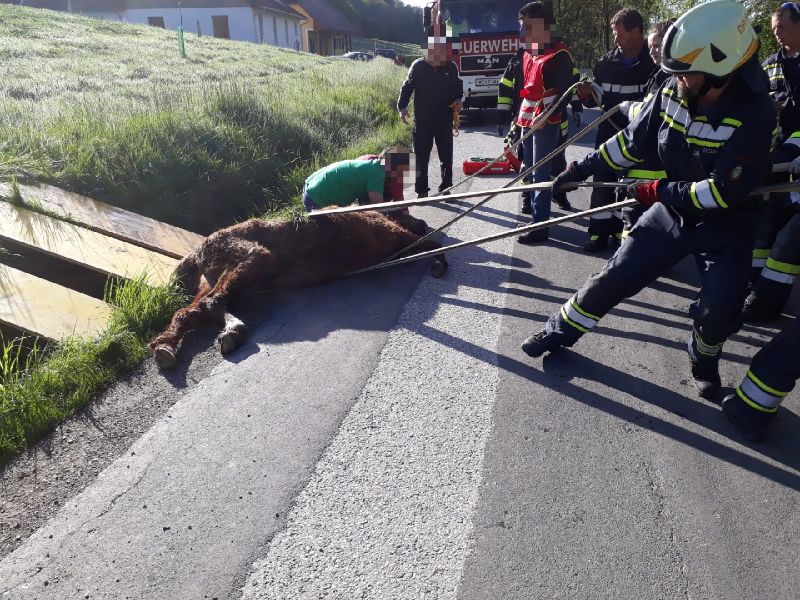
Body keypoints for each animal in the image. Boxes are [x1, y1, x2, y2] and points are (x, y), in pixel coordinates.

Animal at [150, 209, 447, 369]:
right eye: (408, 212)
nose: (423, 222)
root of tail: (198, 249)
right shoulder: (395, 235)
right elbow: (434, 244)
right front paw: (440, 262)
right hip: (255, 257)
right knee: (214, 302)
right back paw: (233, 328)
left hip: (217, 279)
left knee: (189, 312)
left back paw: (166, 346)